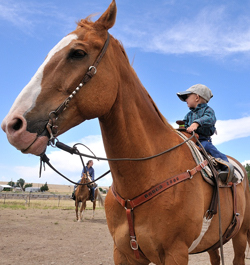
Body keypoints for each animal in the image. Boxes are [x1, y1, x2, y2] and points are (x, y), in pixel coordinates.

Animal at [0, 1, 249, 262]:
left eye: (77, 53)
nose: (13, 125)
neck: (149, 172)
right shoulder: (123, 252)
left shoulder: (176, 253)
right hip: (213, 243)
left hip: (241, 236)